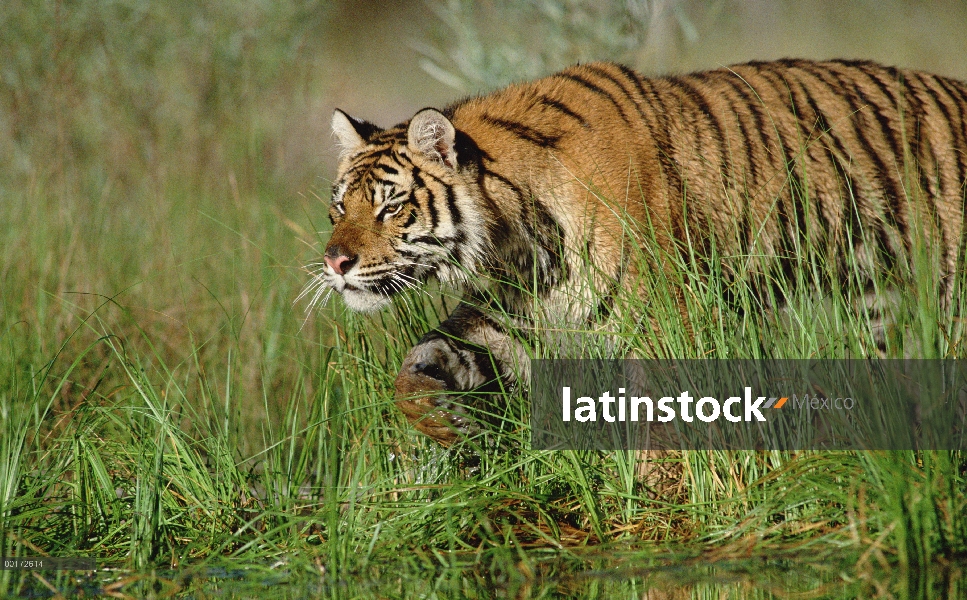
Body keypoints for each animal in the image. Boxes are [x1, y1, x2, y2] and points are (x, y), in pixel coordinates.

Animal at [308, 59, 967, 446]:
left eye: (391, 206)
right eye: (340, 207)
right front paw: (446, 424)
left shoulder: (668, 322)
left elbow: (666, 421)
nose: (335, 263)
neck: (517, 246)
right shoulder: (507, 318)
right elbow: (418, 365)